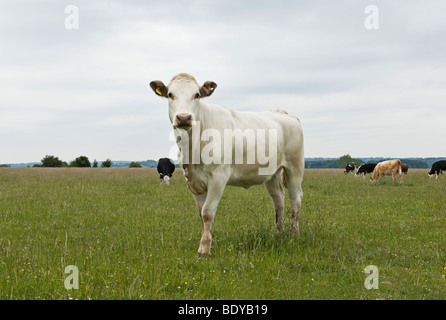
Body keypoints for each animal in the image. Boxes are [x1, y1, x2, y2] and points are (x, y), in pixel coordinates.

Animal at [150, 73, 304, 255]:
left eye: (197, 95)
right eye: (170, 94)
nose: (184, 117)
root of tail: (283, 113)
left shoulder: (218, 177)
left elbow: (208, 212)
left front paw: (204, 249)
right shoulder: (193, 181)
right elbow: (201, 214)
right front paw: (208, 243)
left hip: (294, 167)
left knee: (295, 199)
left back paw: (294, 234)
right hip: (271, 173)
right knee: (278, 200)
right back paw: (278, 232)